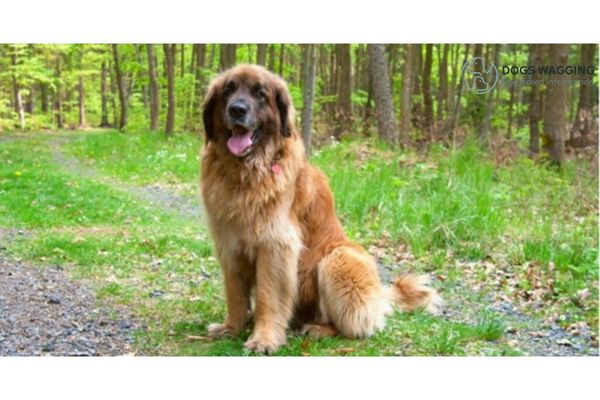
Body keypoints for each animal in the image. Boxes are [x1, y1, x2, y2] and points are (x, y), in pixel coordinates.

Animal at [199, 65, 442, 354]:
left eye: (260, 94)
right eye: (229, 90)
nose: (237, 109)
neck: (245, 173)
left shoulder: (275, 245)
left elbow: (269, 297)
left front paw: (264, 338)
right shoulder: (229, 244)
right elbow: (235, 294)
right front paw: (231, 328)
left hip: (338, 259)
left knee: (355, 326)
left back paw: (317, 329)